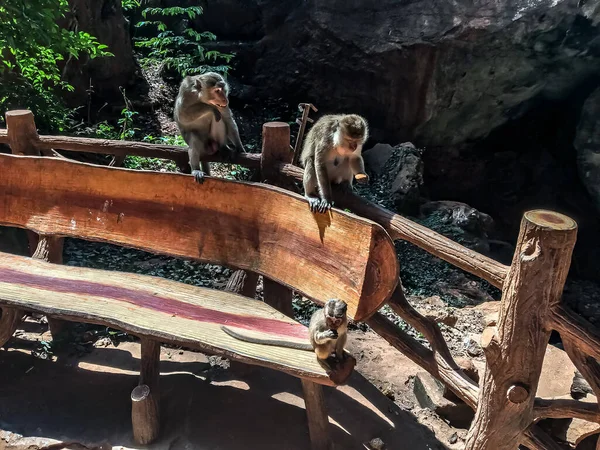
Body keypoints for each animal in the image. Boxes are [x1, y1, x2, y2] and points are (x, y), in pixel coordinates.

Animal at [221, 298, 350, 370]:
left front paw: (339, 356)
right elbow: (317, 336)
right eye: (329, 319)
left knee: (342, 338)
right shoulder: (322, 323)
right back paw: (323, 359)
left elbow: (343, 334)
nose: (332, 326)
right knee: (324, 346)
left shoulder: (344, 322)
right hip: (317, 347)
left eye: (336, 320)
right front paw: (327, 335)